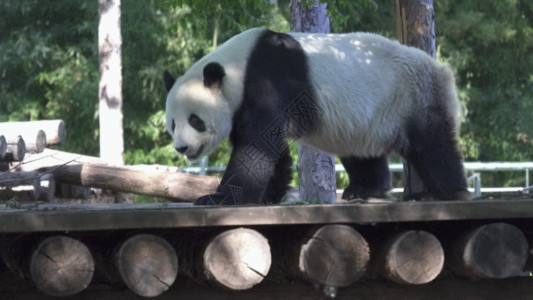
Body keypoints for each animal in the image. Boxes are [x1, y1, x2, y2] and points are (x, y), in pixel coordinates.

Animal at [163, 28, 470, 205]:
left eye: (195, 120)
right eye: (172, 124)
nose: (182, 148)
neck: (237, 66)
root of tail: (442, 70)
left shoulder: (267, 80)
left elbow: (257, 144)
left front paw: (218, 198)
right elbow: (269, 147)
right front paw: (269, 195)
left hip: (414, 96)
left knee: (431, 145)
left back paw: (448, 191)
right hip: (367, 117)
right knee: (362, 152)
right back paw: (365, 189)